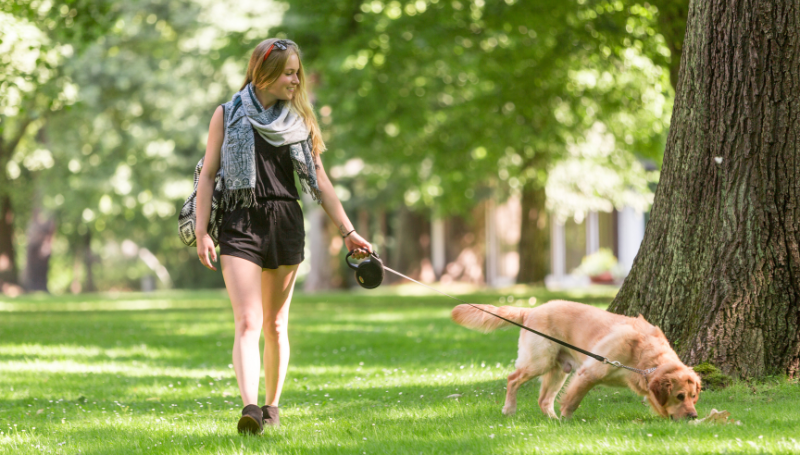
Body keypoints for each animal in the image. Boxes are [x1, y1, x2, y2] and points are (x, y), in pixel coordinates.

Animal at [450, 302, 700, 422]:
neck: (642, 356)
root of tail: (532, 310)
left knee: (543, 399)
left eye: (693, 397)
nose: (694, 416)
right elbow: (572, 401)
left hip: (559, 371)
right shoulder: (589, 373)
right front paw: (567, 420)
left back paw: (551, 420)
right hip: (540, 361)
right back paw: (510, 409)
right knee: (513, 379)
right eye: (680, 396)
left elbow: (659, 406)